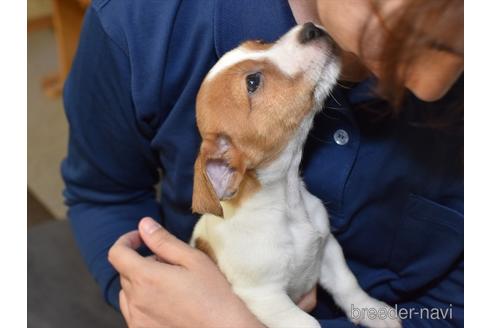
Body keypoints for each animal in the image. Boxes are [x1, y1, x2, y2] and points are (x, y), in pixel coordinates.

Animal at [188, 23, 400, 328]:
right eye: (252, 82)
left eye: (260, 42)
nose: (310, 29)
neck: (287, 205)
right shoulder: (266, 297)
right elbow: (309, 323)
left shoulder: (328, 250)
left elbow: (348, 284)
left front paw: (373, 311)